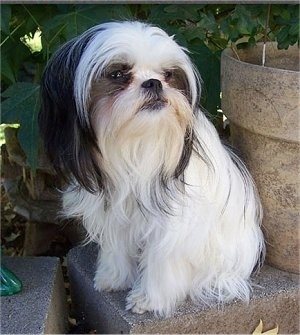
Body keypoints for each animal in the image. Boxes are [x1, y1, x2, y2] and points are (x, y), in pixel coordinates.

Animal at [39, 21, 264, 318]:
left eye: (168, 75)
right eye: (118, 74)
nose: (154, 82)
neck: (137, 142)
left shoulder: (172, 224)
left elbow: (161, 260)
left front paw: (149, 299)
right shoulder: (114, 210)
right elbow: (116, 245)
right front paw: (113, 277)